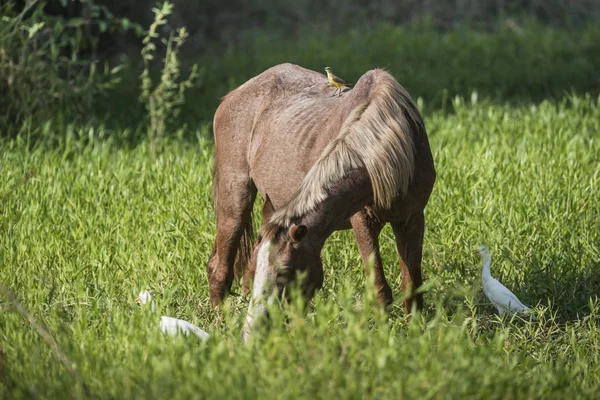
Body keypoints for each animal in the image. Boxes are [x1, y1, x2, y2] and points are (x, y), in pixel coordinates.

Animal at [206, 63, 436, 340]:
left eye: (285, 273)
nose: (252, 333)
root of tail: (232, 96)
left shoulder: (412, 218)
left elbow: (412, 285)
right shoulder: (363, 221)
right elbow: (379, 287)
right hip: (235, 200)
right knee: (220, 269)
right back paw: (219, 326)